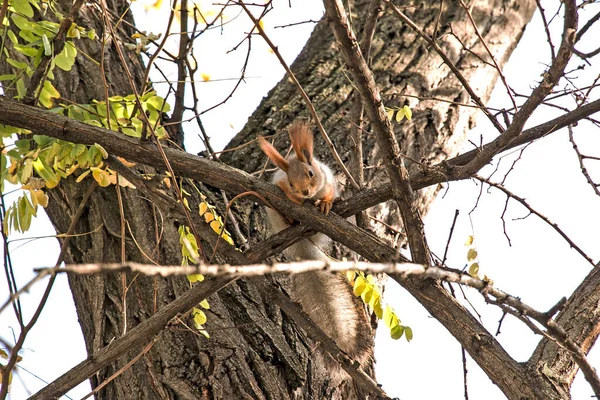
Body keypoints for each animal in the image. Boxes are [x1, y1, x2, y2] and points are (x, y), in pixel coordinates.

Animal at [256, 121, 370, 372]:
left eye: (310, 173)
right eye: (291, 182)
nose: (305, 192)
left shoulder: (328, 181)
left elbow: (328, 193)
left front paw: (326, 202)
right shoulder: (279, 184)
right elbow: (282, 190)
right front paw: (294, 198)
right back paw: (291, 220)